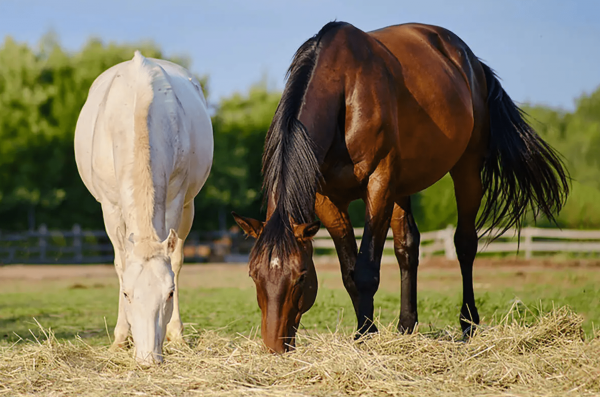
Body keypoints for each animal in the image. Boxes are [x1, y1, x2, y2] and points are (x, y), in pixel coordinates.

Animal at [74, 51, 213, 364]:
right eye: (127, 294)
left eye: (169, 293)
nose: (148, 358)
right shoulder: (110, 208)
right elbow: (120, 263)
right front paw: (120, 338)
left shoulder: (176, 199)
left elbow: (174, 260)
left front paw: (175, 335)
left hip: (189, 206)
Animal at [232, 21, 568, 352]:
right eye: (253, 275)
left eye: (301, 277)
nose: (275, 346)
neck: (343, 88)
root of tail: (472, 63)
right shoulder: (328, 200)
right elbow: (350, 272)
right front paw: (367, 329)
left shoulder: (378, 183)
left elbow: (366, 270)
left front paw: (366, 336)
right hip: (402, 188)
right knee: (408, 246)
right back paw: (407, 325)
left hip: (466, 169)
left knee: (465, 244)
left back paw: (468, 324)